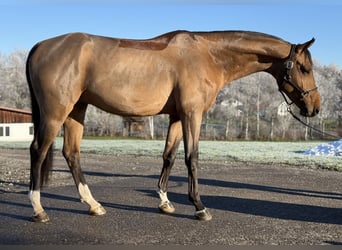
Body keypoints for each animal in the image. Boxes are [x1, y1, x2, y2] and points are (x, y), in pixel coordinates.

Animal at [26, 30, 320, 222]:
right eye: (304, 68)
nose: (315, 107)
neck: (209, 55)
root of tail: (40, 45)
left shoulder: (177, 116)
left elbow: (169, 156)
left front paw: (165, 202)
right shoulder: (192, 114)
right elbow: (192, 157)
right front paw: (199, 206)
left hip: (77, 109)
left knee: (71, 153)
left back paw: (93, 205)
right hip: (56, 112)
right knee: (38, 150)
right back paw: (39, 210)